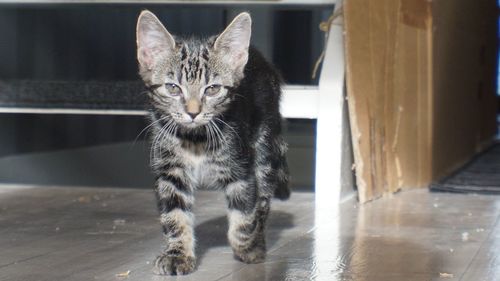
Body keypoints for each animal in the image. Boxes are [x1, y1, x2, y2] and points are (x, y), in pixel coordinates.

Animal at [136, 10, 290, 274]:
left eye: (212, 89)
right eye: (173, 88)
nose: (193, 112)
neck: (194, 138)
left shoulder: (241, 167)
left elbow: (245, 214)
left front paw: (247, 247)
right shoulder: (170, 170)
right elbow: (174, 214)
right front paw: (178, 254)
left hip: (264, 146)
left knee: (263, 199)